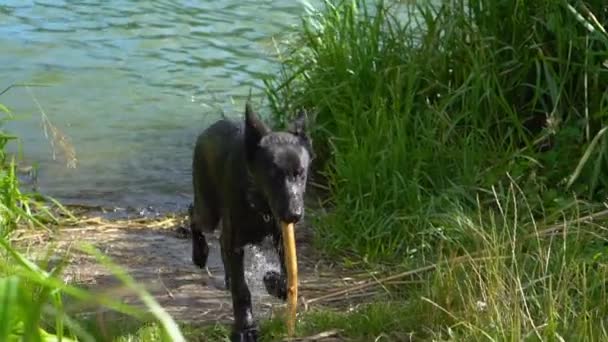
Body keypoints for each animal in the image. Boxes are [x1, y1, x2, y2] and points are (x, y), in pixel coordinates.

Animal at [190, 103, 314, 340]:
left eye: (301, 173)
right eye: (273, 175)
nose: (294, 215)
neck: (261, 204)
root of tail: (208, 130)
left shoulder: (280, 235)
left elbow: (287, 276)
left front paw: (274, 281)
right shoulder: (236, 241)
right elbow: (242, 291)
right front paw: (245, 328)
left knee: (220, 240)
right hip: (209, 210)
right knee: (193, 213)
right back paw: (199, 253)